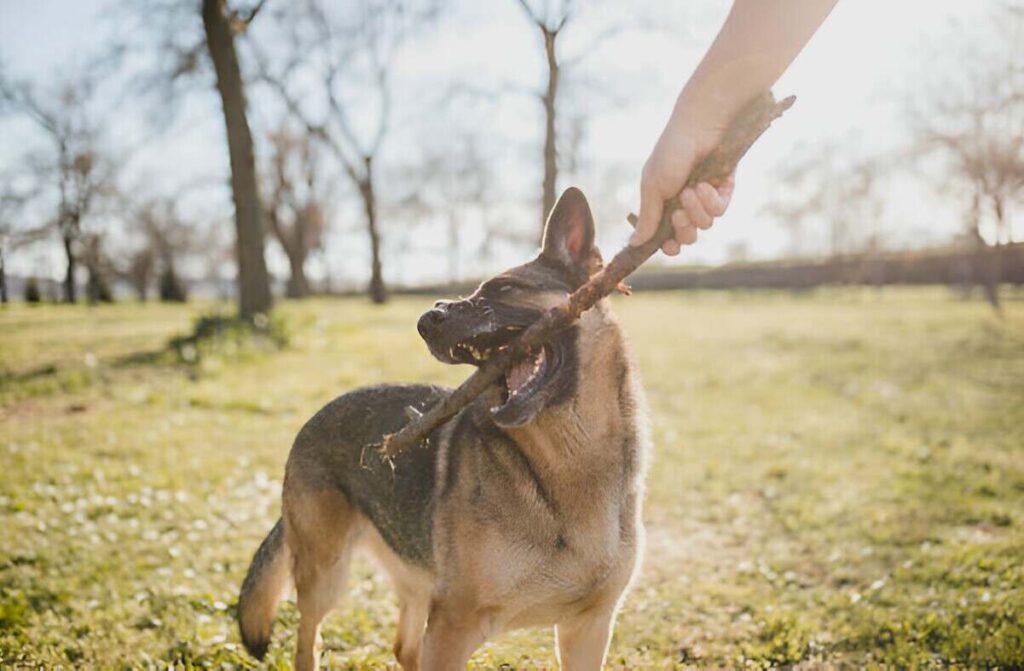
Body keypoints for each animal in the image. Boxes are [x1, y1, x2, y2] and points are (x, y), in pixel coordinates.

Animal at [237, 186, 647, 667]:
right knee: (308, 639)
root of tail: (314, 416)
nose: (425, 320)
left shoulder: (588, 629)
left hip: (416, 583)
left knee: (403, 646)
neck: (570, 463)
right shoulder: (454, 625)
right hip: (327, 575)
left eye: (503, 288)